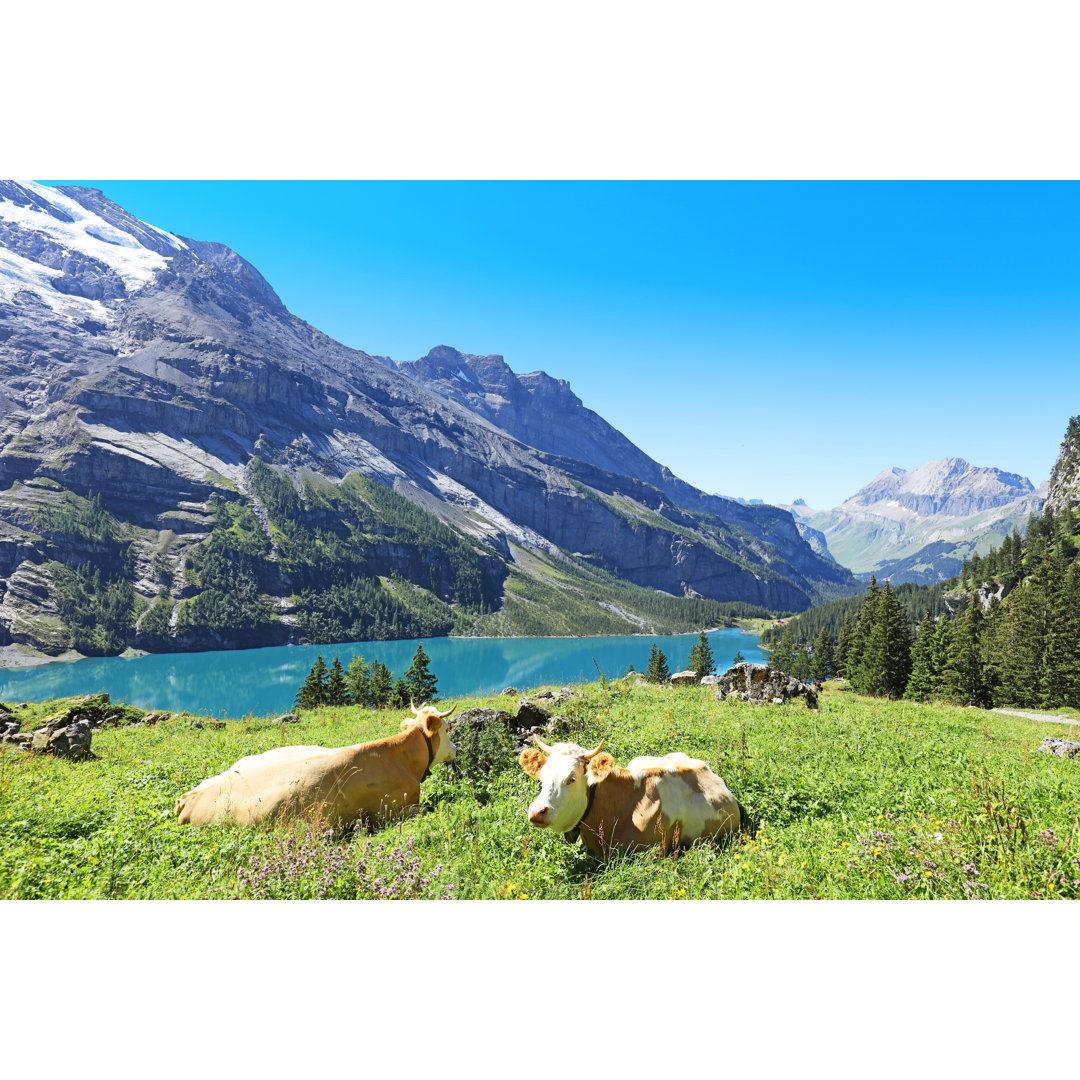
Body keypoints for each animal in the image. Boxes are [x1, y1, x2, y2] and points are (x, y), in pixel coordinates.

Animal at [174, 699, 453, 825]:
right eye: (448, 728)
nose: (456, 749)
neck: (399, 759)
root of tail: (188, 796)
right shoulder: (395, 810)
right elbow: (426, 809)